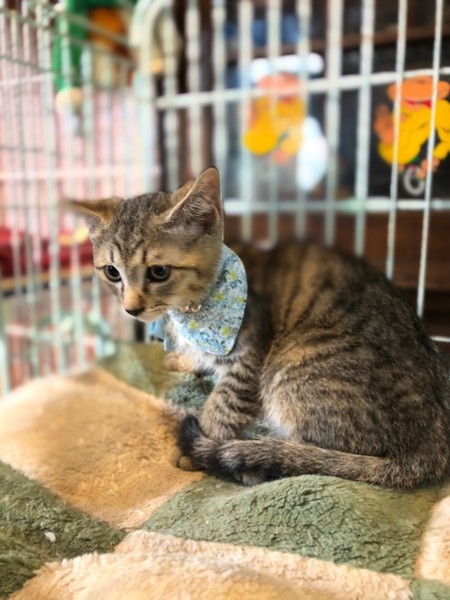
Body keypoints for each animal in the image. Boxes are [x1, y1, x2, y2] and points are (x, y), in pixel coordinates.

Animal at [69, 167, 450, 488]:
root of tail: (435, 443)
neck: (189, 309)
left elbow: (223, 404)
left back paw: (255, 458)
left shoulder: (248, 361)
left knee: (318, 456)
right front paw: (183, 359)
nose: (131, 308)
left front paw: (201, 444)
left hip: (292, 364)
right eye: (112, 273)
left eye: (158, 272)